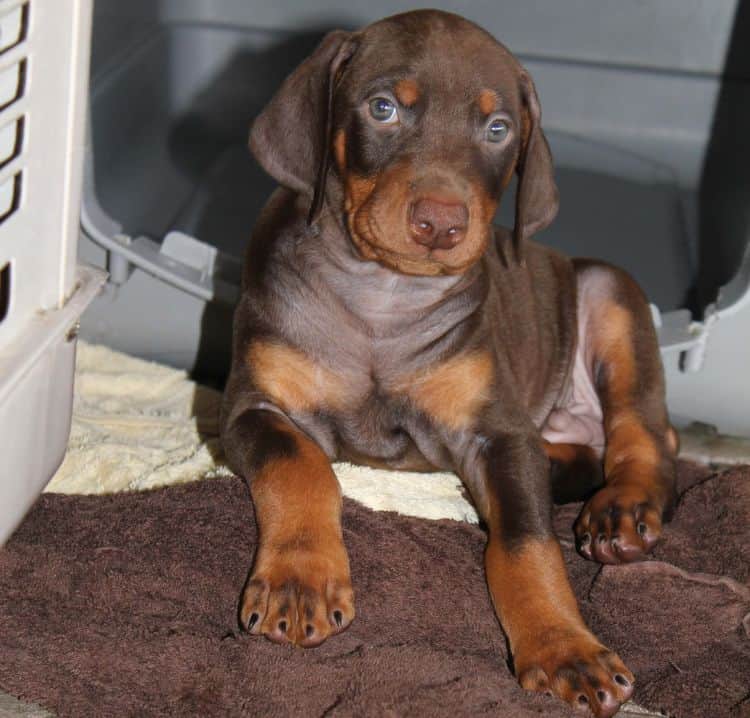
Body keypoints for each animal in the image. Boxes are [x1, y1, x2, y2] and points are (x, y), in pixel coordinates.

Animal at [222, 9, 680, 716]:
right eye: (383, 108)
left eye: (498, 129)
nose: (440, 223)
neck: (383, 295)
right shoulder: (255, 407)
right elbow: (298, 463)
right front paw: (299, 580)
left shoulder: (498, 431)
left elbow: (525, 542)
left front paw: (563, 647)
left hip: (608, 290)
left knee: (648, 434)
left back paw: (621, 509)